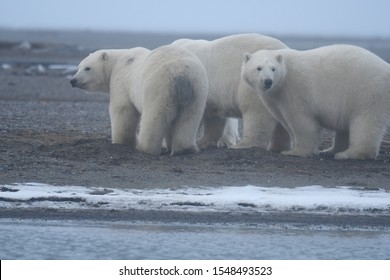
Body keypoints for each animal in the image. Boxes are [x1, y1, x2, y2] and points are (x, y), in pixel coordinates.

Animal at [71, 45, 210, 156]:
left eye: (87, 68)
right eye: (79, 67)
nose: (73, 80)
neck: (117, 62)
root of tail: (181, 73)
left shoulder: (121, 80)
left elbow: (123, 110)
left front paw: (121, 142)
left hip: (158, 88)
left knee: (153, 117)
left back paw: (144, 148)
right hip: (197, 91)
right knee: (189, 118)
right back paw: (185, 149)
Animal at [241, 44, 390, 160]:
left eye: (273, 68)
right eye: (259, 68)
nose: (268, 81)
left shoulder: (295, 90)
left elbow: (302, 121)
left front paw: (295, 152)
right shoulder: (275, 98)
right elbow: (285, 119)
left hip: (368, 91)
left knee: (365, 122)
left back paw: (348, 154)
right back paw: (331, 150)